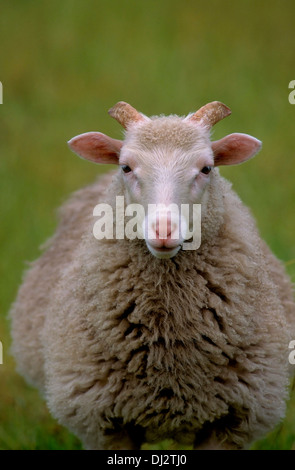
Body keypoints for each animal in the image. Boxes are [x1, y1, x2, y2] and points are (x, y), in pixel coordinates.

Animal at [9, 101, 295, 450]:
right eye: (126, 167)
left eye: (206, 168)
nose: (164, 230)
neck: (167, 336)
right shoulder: (105, 423)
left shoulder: (230, 422)